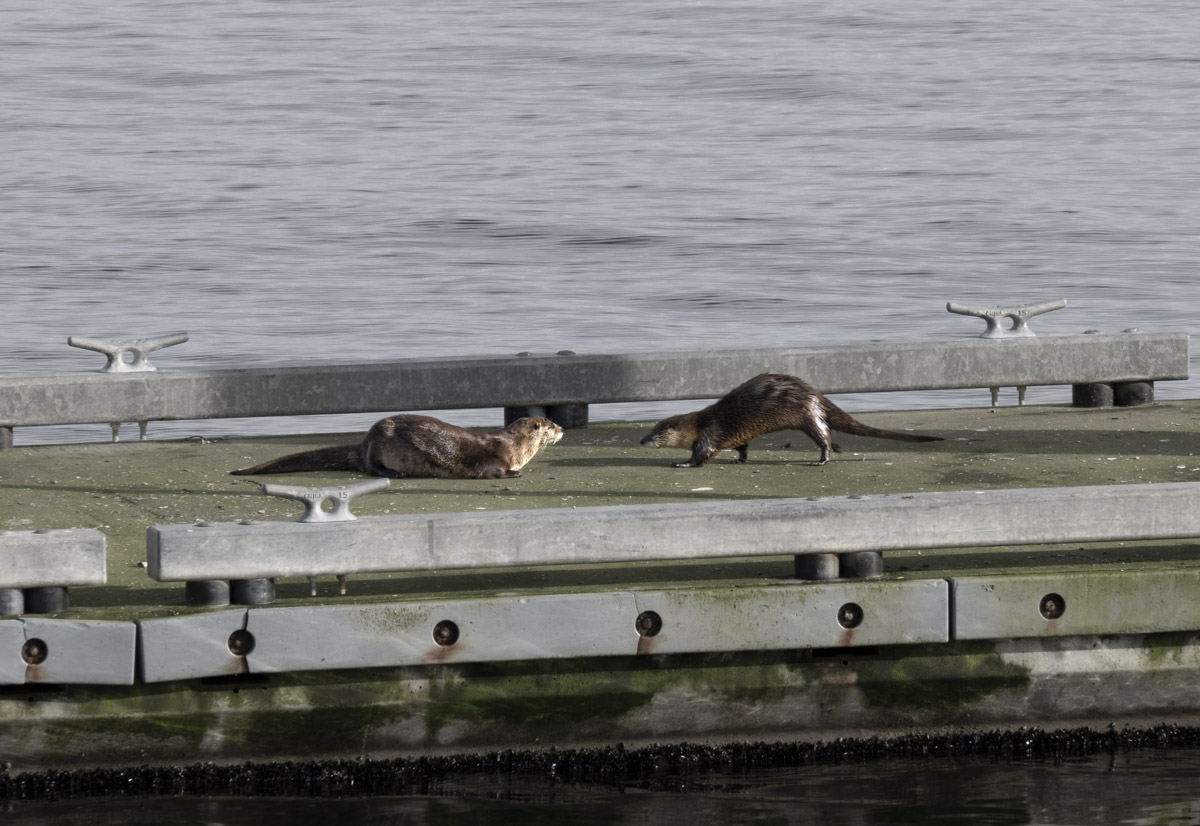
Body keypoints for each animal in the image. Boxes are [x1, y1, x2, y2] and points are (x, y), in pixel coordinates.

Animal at [643, 372, 940, 468]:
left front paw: (682, 463)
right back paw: (838, 449)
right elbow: (742, 447)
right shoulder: (736, 435)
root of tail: (815, 394)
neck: (699, 423)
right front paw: (739, 459)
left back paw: (822, 459)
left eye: (656, 433)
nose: (641, 440)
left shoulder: (709, 434)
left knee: (823, 435)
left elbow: (702, 455)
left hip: (806, 415)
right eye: (649, 430)